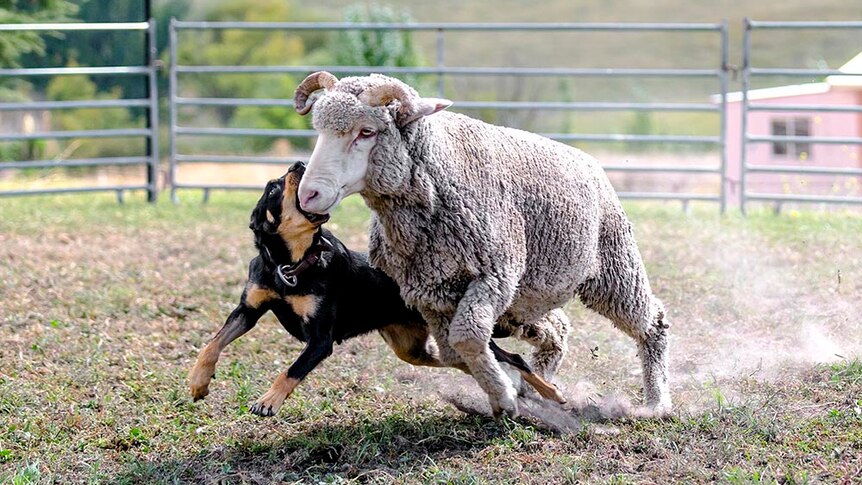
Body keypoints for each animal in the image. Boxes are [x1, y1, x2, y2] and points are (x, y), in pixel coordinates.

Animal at [190, 163, 568, 416]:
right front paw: (198, 382)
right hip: (411, 349)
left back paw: (553, 394)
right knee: (469, 362)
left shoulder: (320, 341)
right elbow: (212, 344)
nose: (299, 164)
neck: (291, 265)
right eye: (272, 187)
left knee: (515, 358)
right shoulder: (249, 310)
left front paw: (268, 400)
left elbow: (291, 370)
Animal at [294, 72, 672, 416]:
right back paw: (538, 389)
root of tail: (589, 160)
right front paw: (505, 392)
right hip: (527, 299)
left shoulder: (494, 274)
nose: (308, 195)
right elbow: (452, 351)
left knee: (652, 322)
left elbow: (467, 337)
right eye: (319, 130)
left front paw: (504, 397)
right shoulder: (431, 294)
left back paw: (657, 402)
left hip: (613, 267)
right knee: (558, 329)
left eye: (367, 132)